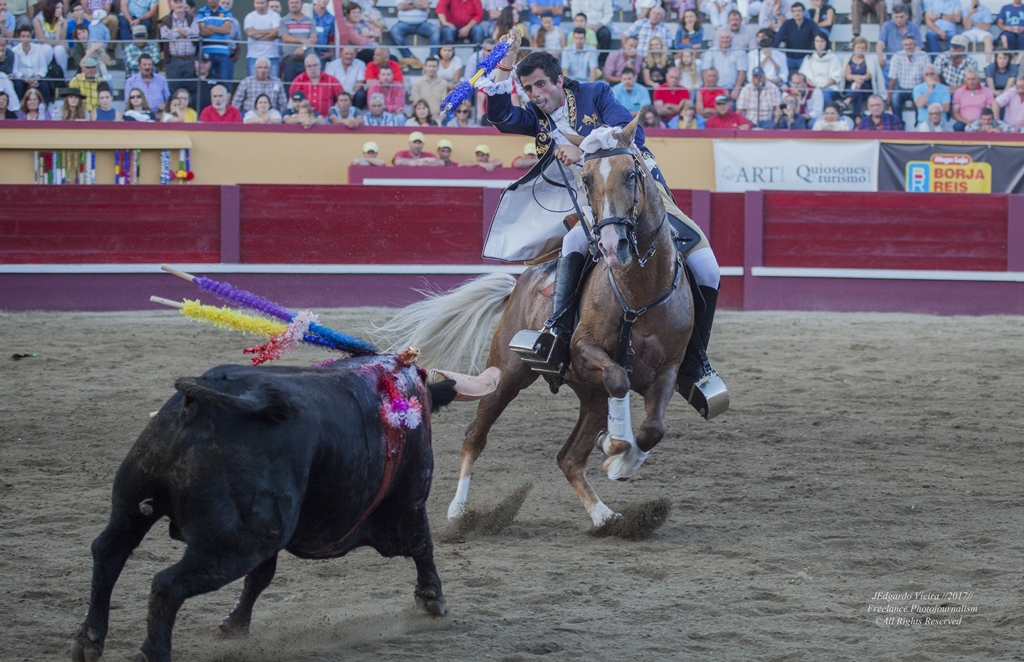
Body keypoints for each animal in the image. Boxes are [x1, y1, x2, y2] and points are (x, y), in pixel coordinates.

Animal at [71, 354, 469, 662]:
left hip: (133, 502)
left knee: (108, 551)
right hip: (236, 544)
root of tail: (203, 403)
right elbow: (423, 545)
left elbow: (261, 577)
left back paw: (89, 640)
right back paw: (152, 652)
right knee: (166, 585)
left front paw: (234, 626)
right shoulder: (409, 502)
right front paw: (432, 598)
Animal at [379, 117, 693, 530]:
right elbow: (618, 377)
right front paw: (614, 445)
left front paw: (621, 459)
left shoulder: (669, 368)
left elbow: (653, 429)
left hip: (590, 397)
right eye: (586, 178)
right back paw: (458, 512)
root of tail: (521, 282)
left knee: (569, 458)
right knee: (474, 436)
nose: (612, 245)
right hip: (506, 373)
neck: (639, 293)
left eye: (631, 174)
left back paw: (605, 515)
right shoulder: (584, 349)